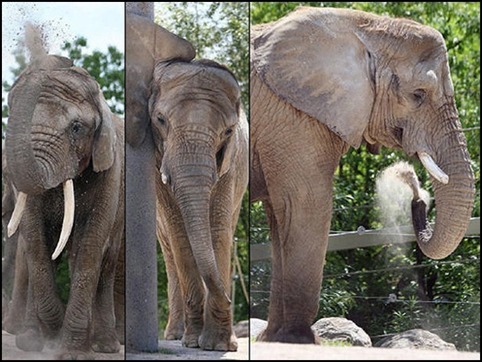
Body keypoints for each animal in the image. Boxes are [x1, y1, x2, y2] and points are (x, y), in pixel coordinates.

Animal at [4, 26, 125, 360]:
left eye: (76, 128)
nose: (50, 59)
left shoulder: (110, 171)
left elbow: (89, 249)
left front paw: (72, 352)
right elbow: (36, 243)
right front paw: (45, 339)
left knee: (105, 262)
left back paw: (104, 345)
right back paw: (33, 340)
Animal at [150, 58, 249, 350]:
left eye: (228, 131)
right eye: (160, 120)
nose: (230, 298)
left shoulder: (231, 162)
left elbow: (217, 228)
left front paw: (218, 346)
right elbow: (179, 231)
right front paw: (194, 342)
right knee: (170, 253)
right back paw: (175, 335)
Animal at [250, 7, 476, 344]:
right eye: (418, 94)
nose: (411, 185)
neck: (366, 26)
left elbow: (281, 218)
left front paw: (274, 339)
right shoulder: (294, 116)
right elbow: (305, 205)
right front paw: (300, 340)